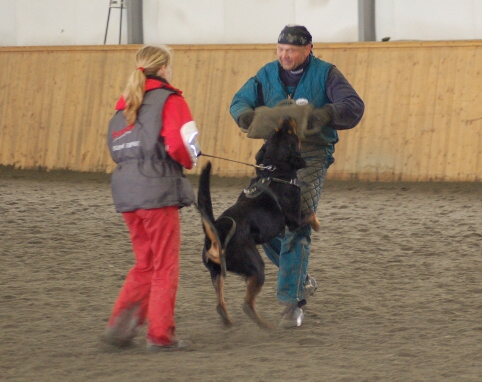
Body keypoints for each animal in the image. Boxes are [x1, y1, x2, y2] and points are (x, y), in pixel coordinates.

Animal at [196, 116, 320, 328]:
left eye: (277, 131)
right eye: (290, 133)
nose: (287, 117)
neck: (276, 172)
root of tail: (217, 233)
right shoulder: (294, 219)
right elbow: (310, 214)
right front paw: (317, 224)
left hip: (217, 273)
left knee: (220, 305)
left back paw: (229, 322)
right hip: (255, 267)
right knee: (247, 304)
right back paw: (266, 326)